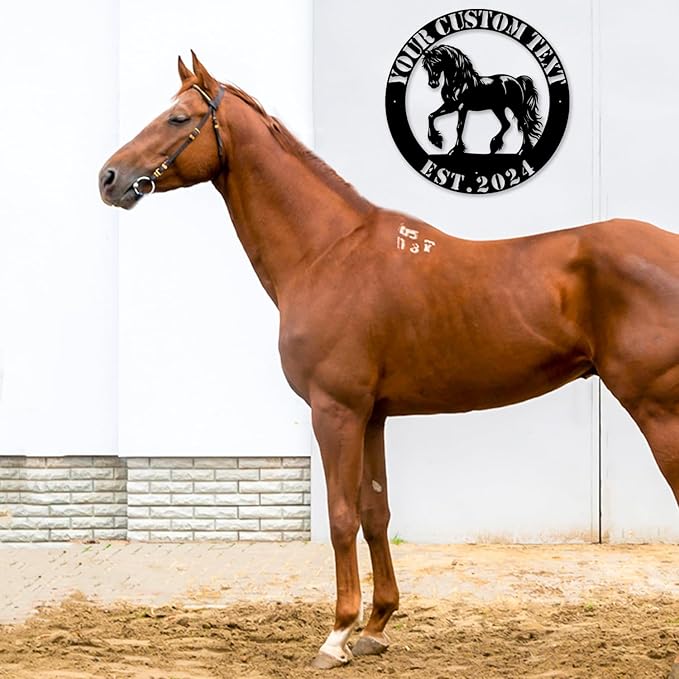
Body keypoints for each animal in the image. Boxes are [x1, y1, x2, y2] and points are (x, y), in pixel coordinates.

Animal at [99, 53, 679, 675]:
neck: (327, 252)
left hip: (658, 411)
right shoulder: (372, 414)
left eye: (178, 118)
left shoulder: (335, 411)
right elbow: (375, 512)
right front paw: (375, 625)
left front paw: (336, 635)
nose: (108, 178)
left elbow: (340, 517)